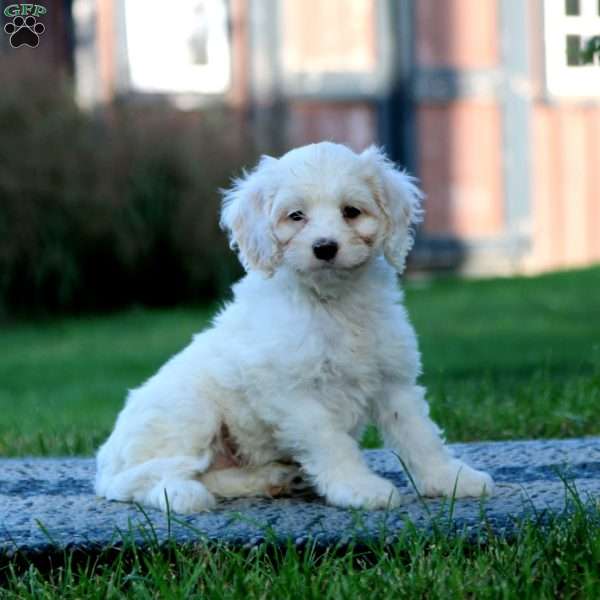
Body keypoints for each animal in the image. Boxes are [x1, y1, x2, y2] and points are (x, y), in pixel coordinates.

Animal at [96, 141, 494, 510]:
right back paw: (183, 494)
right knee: (144, 479)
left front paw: (451, 479)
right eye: (296, 216)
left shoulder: (393, 379)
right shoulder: (292, 393)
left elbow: (418, 434)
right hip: (188, 409)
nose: (325, 247)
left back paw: (274, 478)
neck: (333, 301)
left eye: (351, 212)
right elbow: (331, 442)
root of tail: (103, 464)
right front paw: (359, 489)